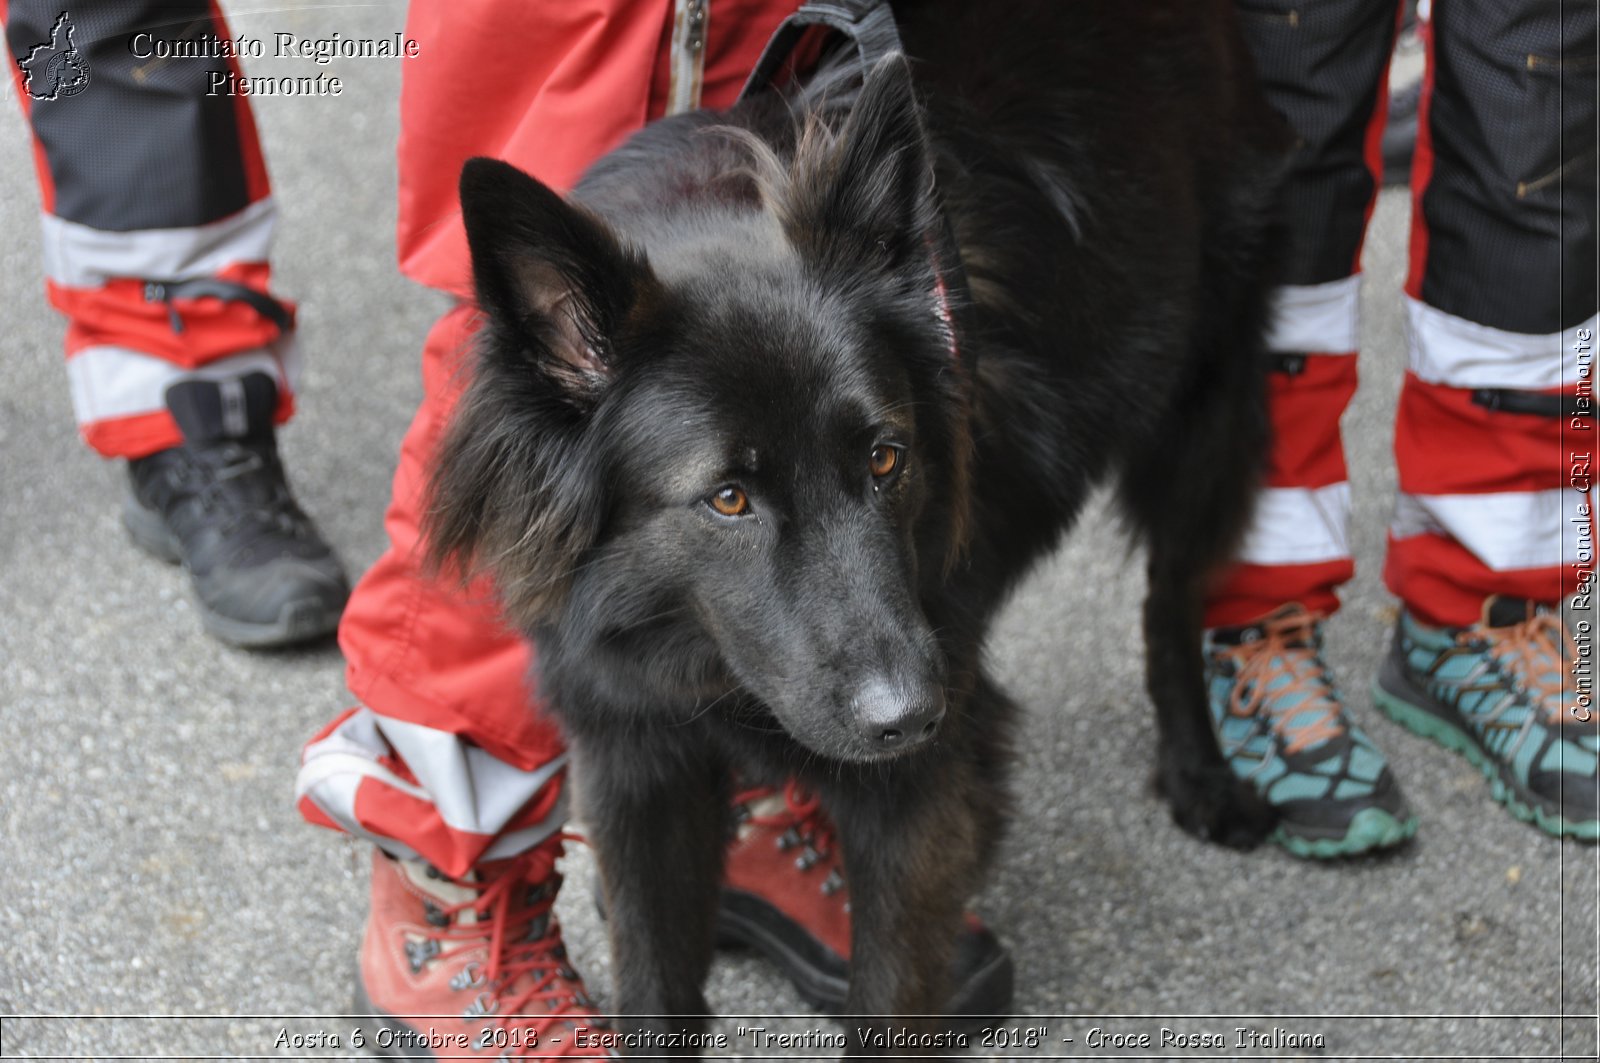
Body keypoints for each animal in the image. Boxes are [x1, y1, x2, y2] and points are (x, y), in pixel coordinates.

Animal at [422, 0, 1286, 1043]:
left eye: (884, 458)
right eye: (728, 497)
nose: (907, 716)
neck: (697, 655)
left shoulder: (924, 794)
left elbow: (889, 995)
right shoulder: (633, 758)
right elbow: (657, 989)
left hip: (1209, 402)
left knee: (1172, 595)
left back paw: (1202, 773)